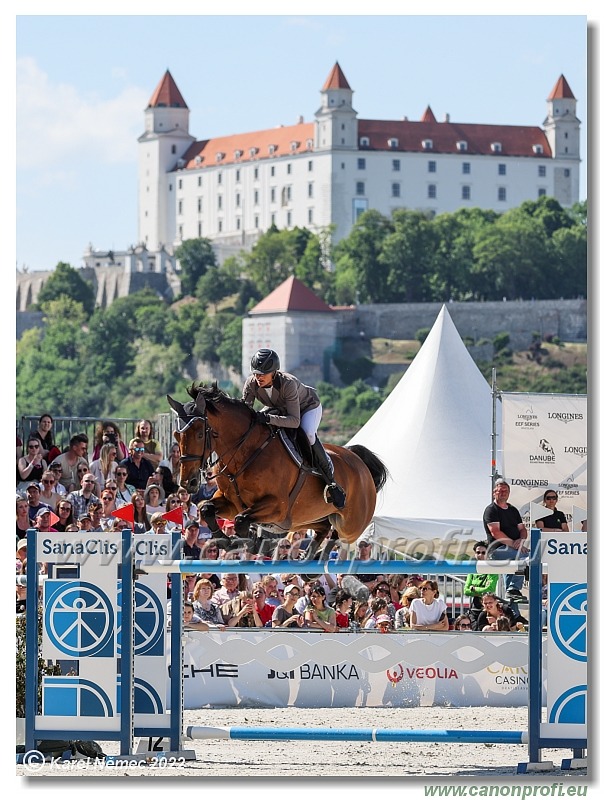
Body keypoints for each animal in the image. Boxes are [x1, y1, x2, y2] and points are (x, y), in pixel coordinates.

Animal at [168, 382, 390, 556]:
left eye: (199, 434)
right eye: (176, 435)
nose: (188, 482)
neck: (244, 451)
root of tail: (360, 463)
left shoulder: (277, 506)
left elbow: (241, 521)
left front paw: (250, 543)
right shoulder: (232, 503)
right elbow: (206, 508)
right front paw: (226, 540)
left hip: (350, 524)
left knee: (338, 536)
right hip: (301, 520)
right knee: (324, 528)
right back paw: (309, 562)